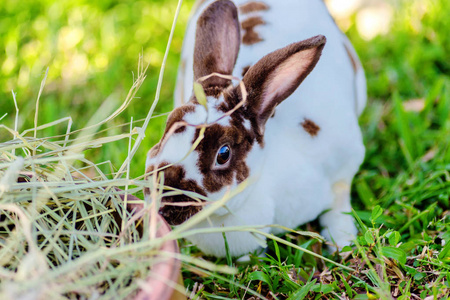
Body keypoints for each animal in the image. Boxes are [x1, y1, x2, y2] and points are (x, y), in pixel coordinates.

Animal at [146, 0, 368, 258]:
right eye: (168, 126)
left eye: (223, 154)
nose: (161, 204)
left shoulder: (345, 162)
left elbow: (339, 202)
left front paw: (343, 245)